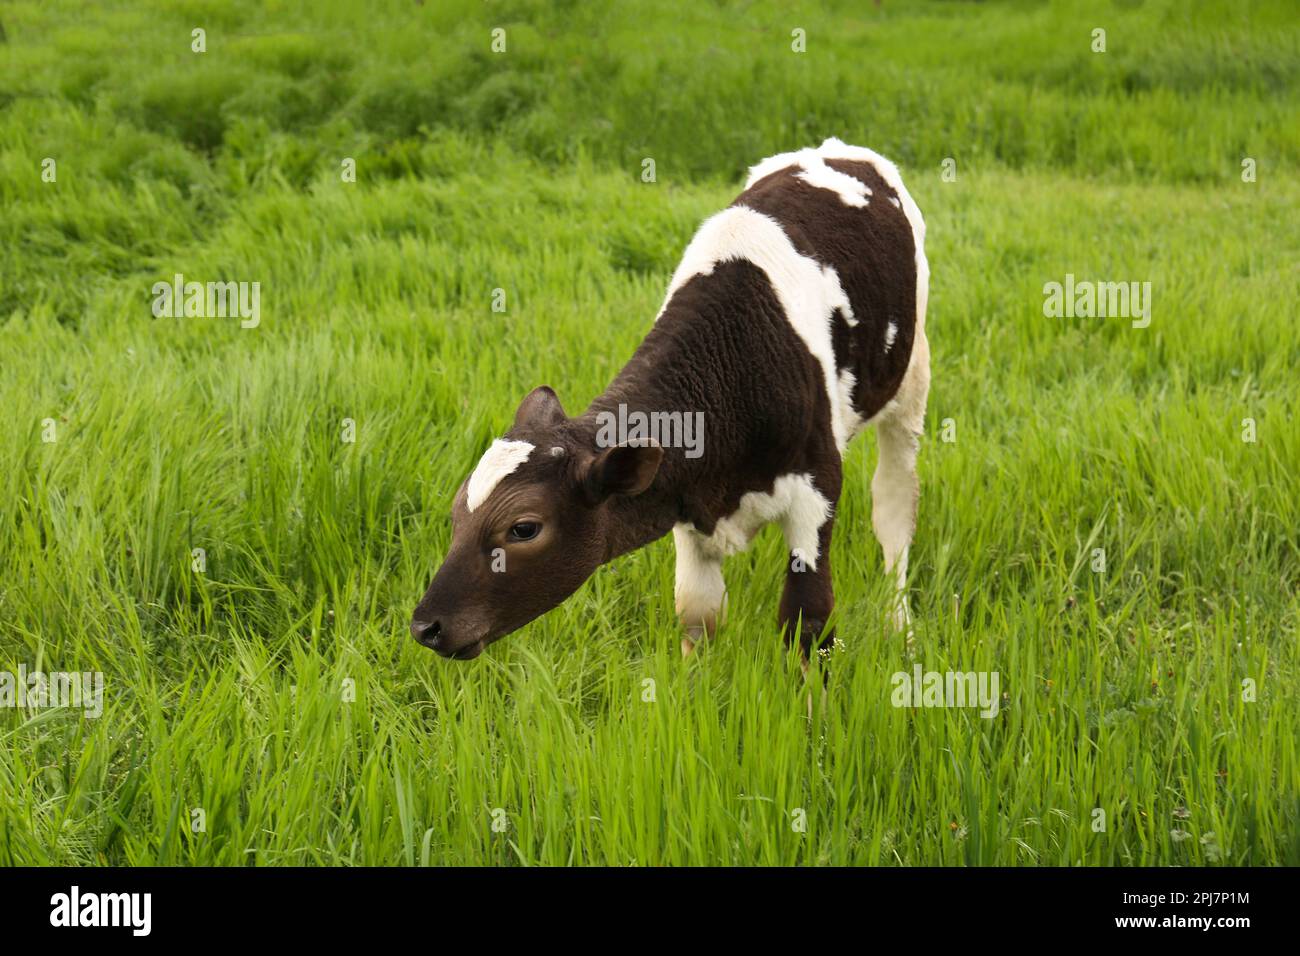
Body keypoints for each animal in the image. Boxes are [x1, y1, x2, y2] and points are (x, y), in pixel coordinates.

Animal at [411, 138, 930, 664]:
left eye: (523, 528)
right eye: (456, 514)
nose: (425, 626)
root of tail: (834, 147)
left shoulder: (818, 486)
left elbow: (808, 620)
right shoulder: (686, 500)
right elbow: (698, 613)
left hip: (911, 381)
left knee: (893, 510)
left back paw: (901, 629)